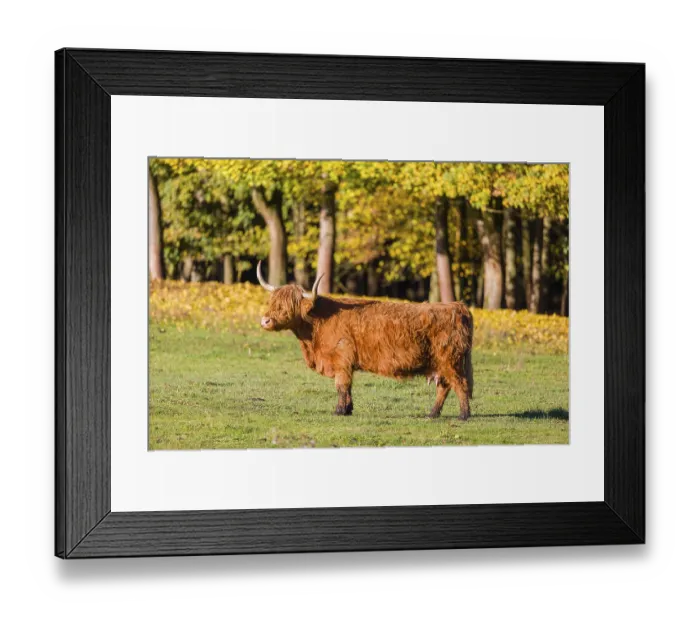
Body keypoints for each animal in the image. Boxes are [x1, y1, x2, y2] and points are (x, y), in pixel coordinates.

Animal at [257, 261, 474, 420]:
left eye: (288, 306)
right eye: (272, 302)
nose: (265, 320)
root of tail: (457, 306)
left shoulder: (341, 361)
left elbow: (341, 386)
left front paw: (339, 411)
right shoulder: (346, 363)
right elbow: (348, 387)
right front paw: (348, 409)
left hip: (451, 360)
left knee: (459, 383)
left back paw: (463, 415)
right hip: (441, 364)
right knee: (444, 386)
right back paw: (432, 414)